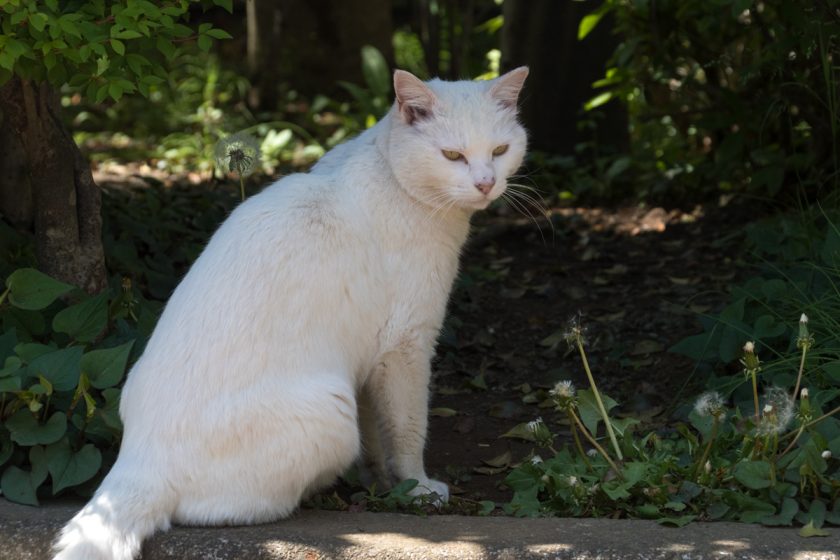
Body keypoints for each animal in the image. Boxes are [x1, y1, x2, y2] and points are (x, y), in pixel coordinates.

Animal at [52, 66, 528, 560]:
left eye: (499, 151)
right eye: (452, 155)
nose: (486, 183)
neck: (390, 176)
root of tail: (137, 461)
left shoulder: (369, 358)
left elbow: (377, 438)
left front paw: (379, 484)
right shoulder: (404, 347)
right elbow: (407, 432)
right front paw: (416, 489)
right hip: (332, 408)